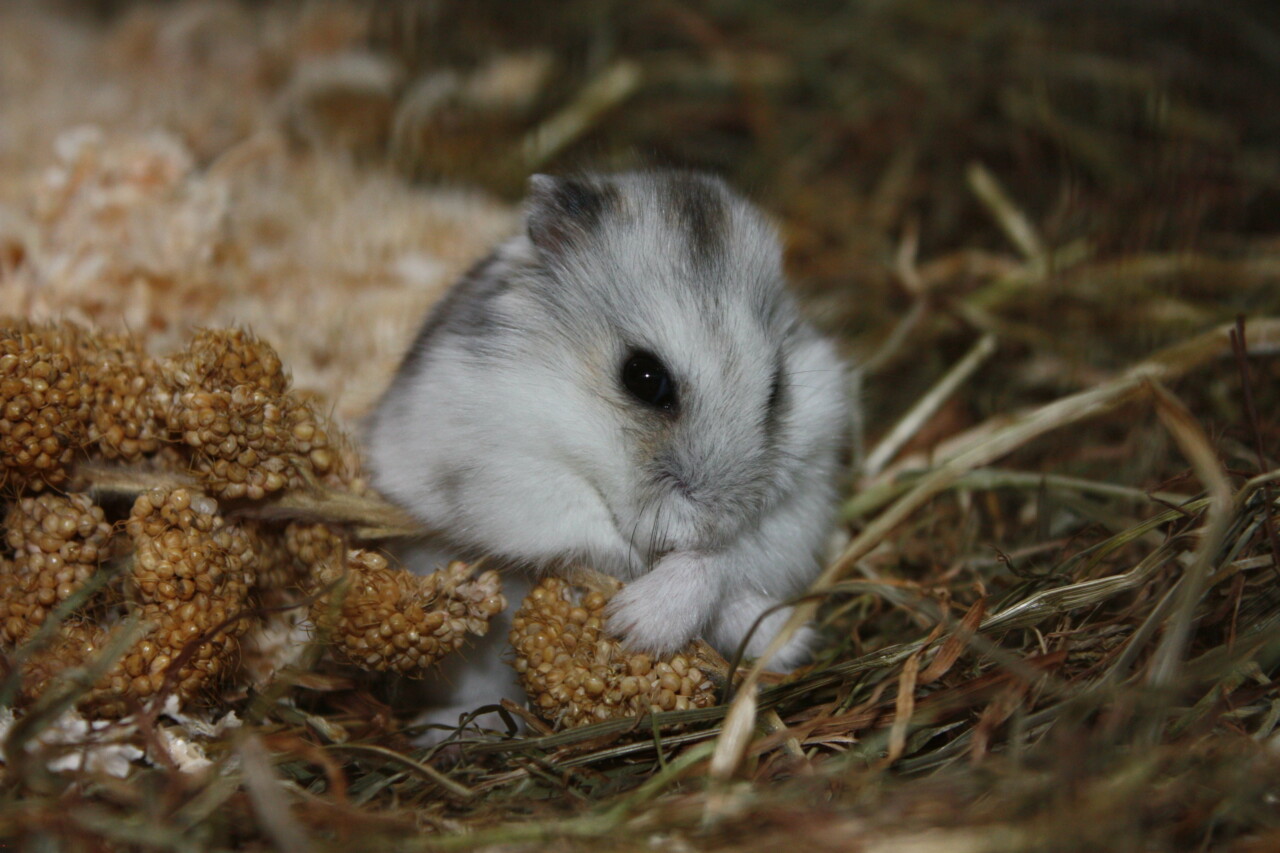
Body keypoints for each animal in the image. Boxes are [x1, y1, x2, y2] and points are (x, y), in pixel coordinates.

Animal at [366, 170, 850, 673]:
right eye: (643, 377)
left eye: (777, 389)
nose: (709, 524)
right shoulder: (508, 477)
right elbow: (600, 539)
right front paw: (627, 623)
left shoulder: (801, 501)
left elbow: (723, 560)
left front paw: (636, 626)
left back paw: (787, 643)